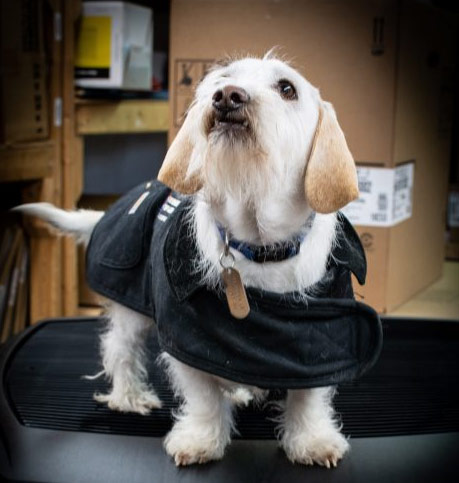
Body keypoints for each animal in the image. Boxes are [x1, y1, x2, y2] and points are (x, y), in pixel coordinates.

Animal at [17, 53, 360, 468]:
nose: (227, 96)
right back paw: (129, 395)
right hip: (132, 311)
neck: (258, 247)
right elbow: (203, 397)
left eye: (287, 88)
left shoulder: (320, 347)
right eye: (223, 78)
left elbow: (308, 397)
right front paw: (201, 439)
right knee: (119, 348)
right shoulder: (185, 341)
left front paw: (311, 440)